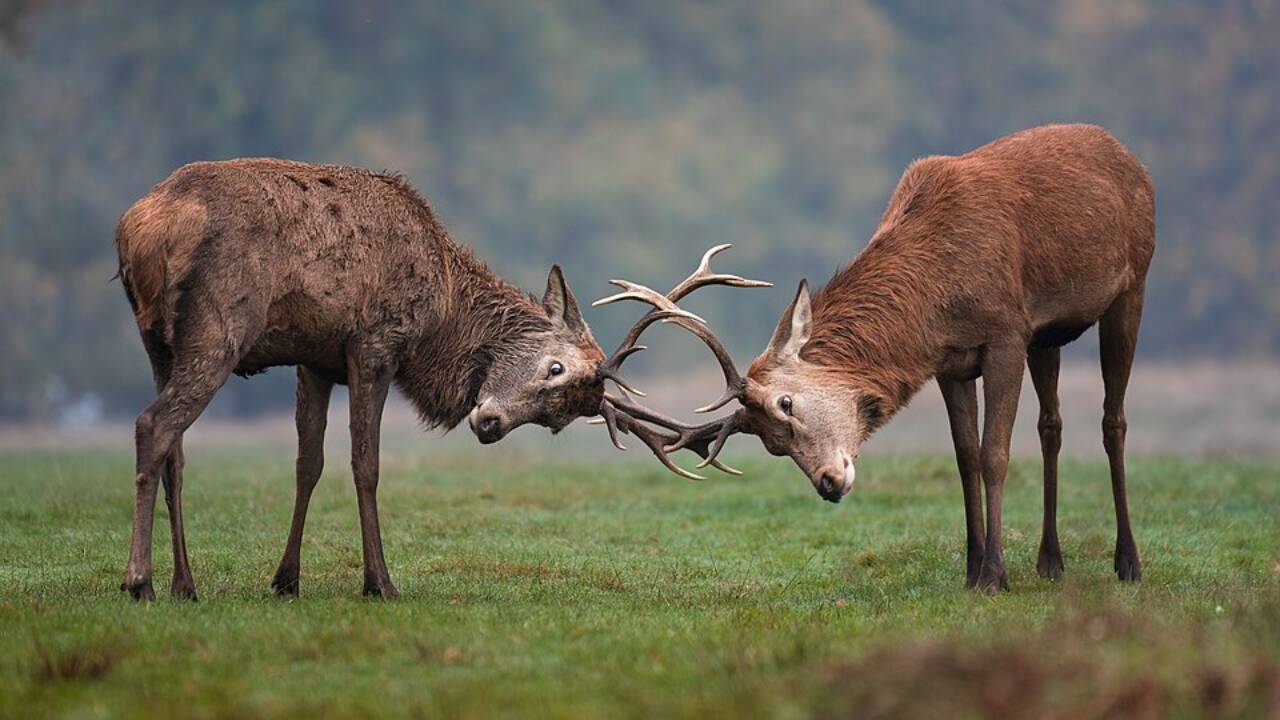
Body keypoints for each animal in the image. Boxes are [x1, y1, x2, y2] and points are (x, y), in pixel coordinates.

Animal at [596, 124, 1155, 592]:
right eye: (772, 446)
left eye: (785, 403)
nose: (828, 484)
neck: (937, 298)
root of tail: (1129, 156)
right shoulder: (951, 361)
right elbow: (965, 458)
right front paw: (972, 571)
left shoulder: (1006, 334)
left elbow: (994, 454)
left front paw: (996, 575)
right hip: (1049, 337)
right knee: (1051, 425)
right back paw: (1050, 562)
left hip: (1131, 287)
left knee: (1113, 420)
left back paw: (1128, 562)